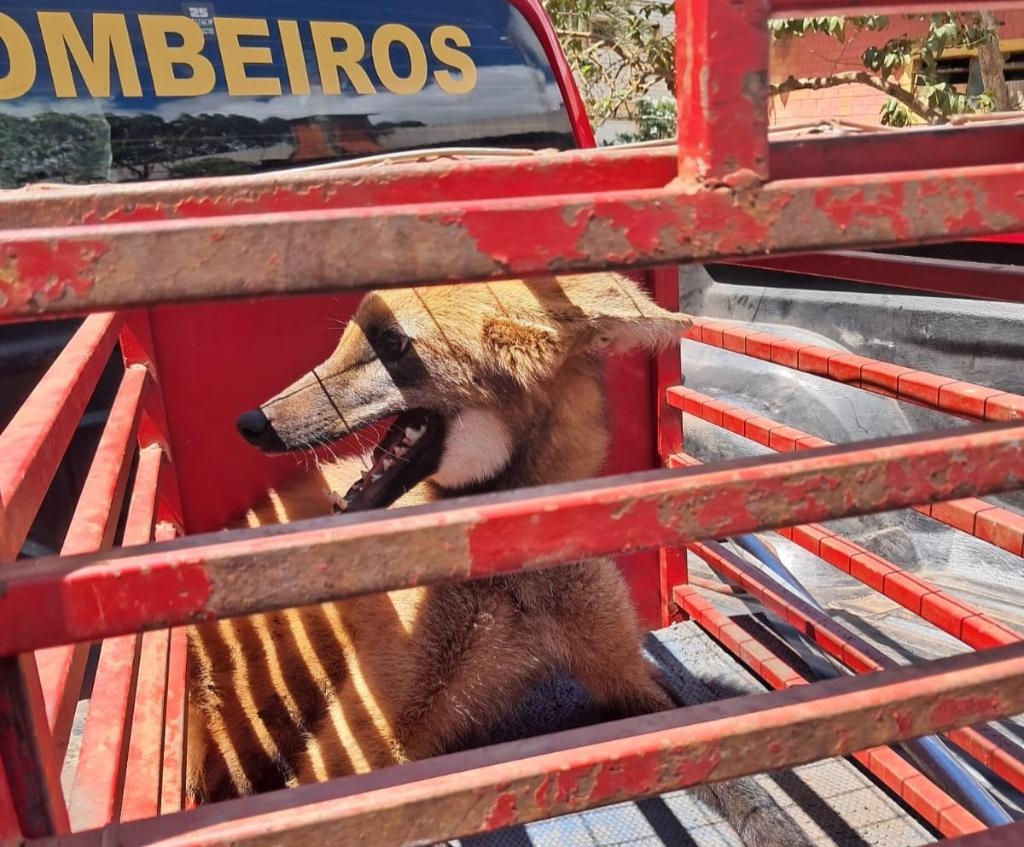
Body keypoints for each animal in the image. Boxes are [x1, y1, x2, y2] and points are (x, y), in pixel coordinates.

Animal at [186, 272, 810, 847]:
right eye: (350, 337)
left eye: (392, 343)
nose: (249, 423)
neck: (511, 582)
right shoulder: (365, 736)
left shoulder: (623, 670)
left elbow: (733, 770)